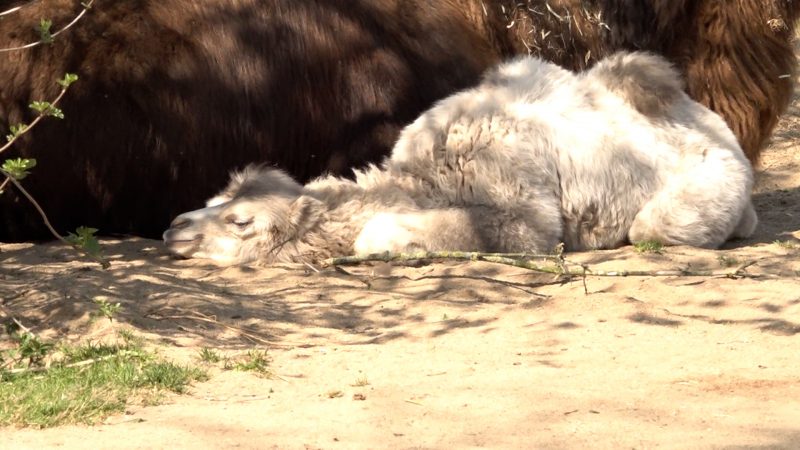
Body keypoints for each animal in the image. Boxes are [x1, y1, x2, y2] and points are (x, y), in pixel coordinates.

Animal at [164, 51, 756, 266]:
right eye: (212, 198)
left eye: (240, 222)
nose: (173, 227)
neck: (429, 177)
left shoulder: (524, 214)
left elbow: (379, 231)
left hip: (704, 185)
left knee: (659, 225)